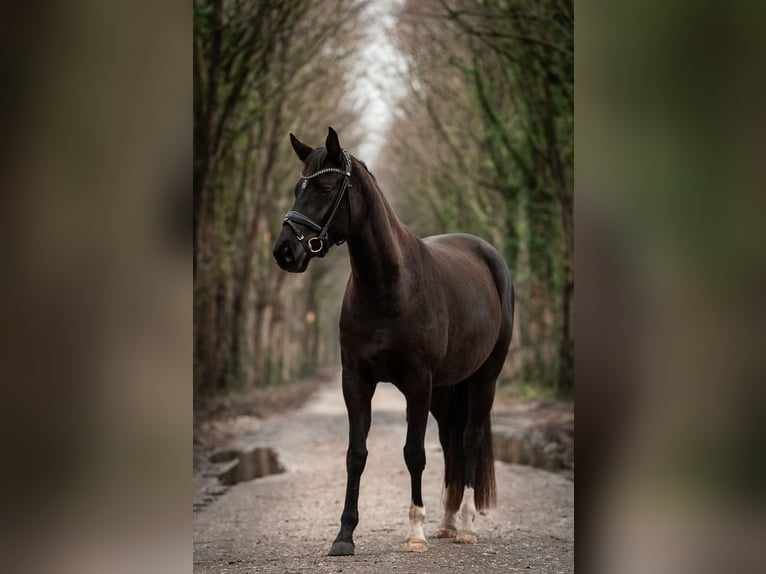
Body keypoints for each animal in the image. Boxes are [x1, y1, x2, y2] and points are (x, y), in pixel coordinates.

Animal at [272, 127, 516, 560]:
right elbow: (356, 454)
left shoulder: (417, 383)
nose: (286, 250)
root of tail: (488, 255)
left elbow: (413, 453)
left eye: (326, 187)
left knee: (469, 439)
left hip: (484, 378)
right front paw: (344, 535)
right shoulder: (355, 380)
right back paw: (446, 523)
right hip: (447, 388)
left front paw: (414, 533)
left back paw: (466, 526)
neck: (388, 287)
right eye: (298, 187)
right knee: (449, 441)